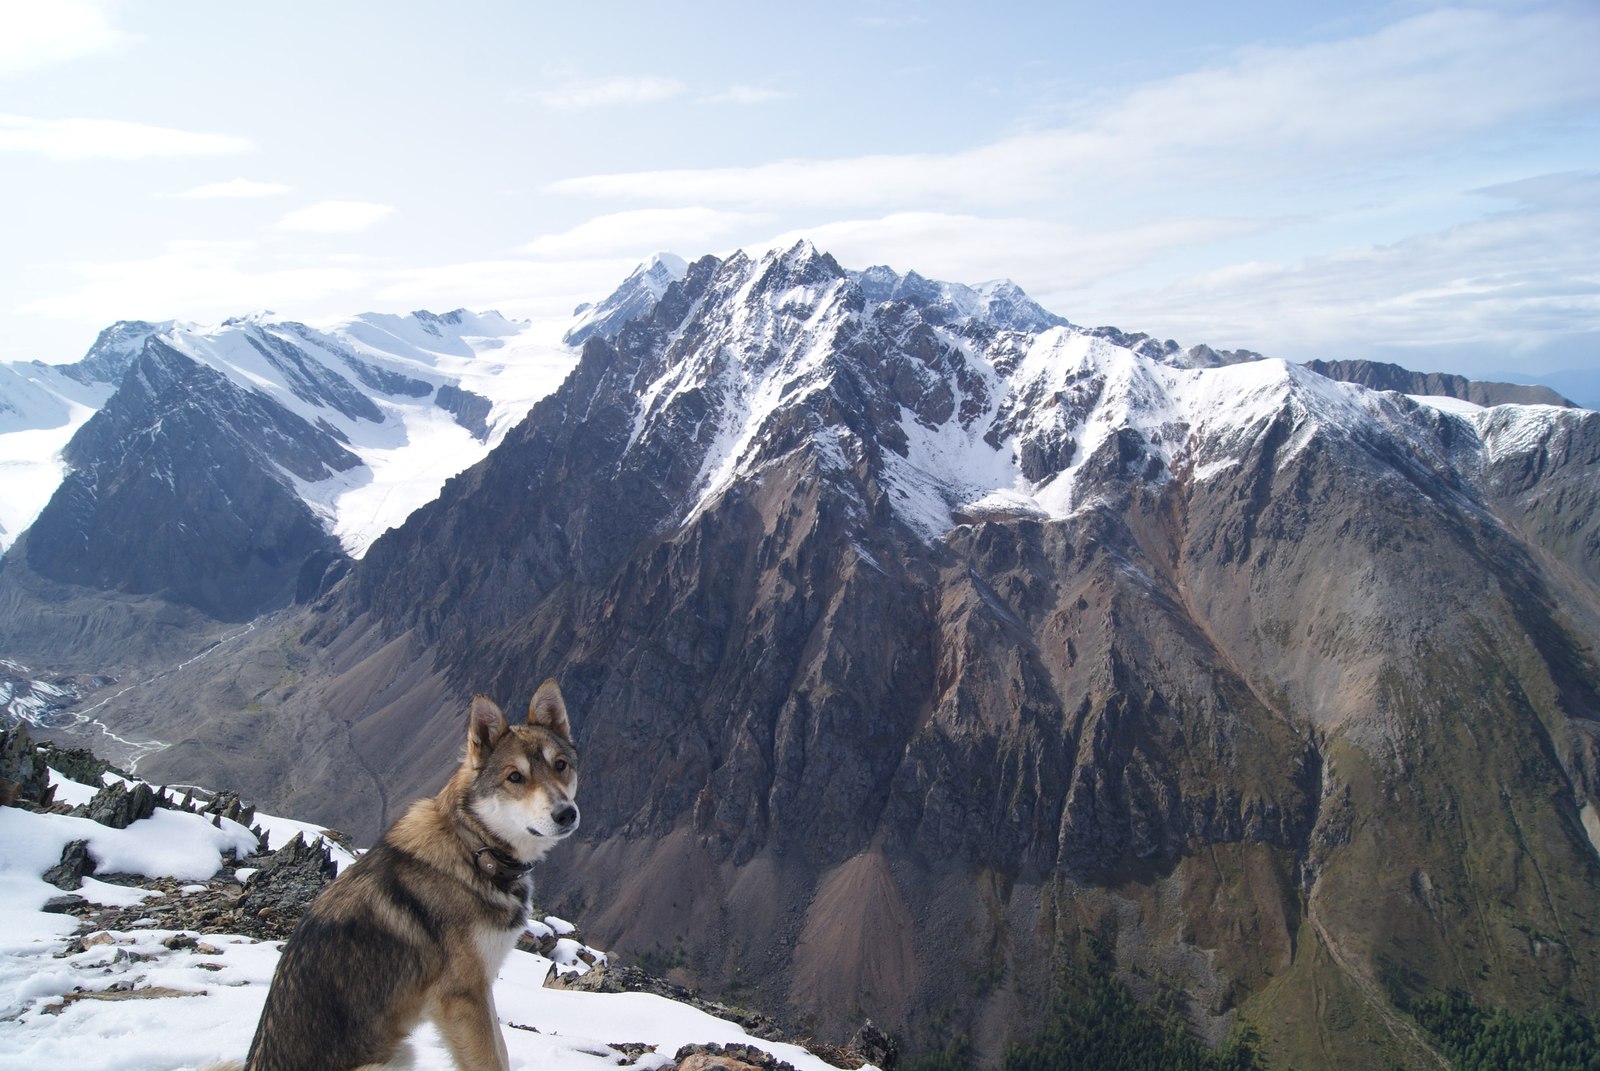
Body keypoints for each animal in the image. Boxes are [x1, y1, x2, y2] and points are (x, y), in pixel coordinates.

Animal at [232, 681, 582, 1062]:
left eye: (560, 766)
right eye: (515, 777)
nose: (567, 814)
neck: (473, 850)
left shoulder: (481, 986)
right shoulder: (461, 996)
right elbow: (490, 1059)